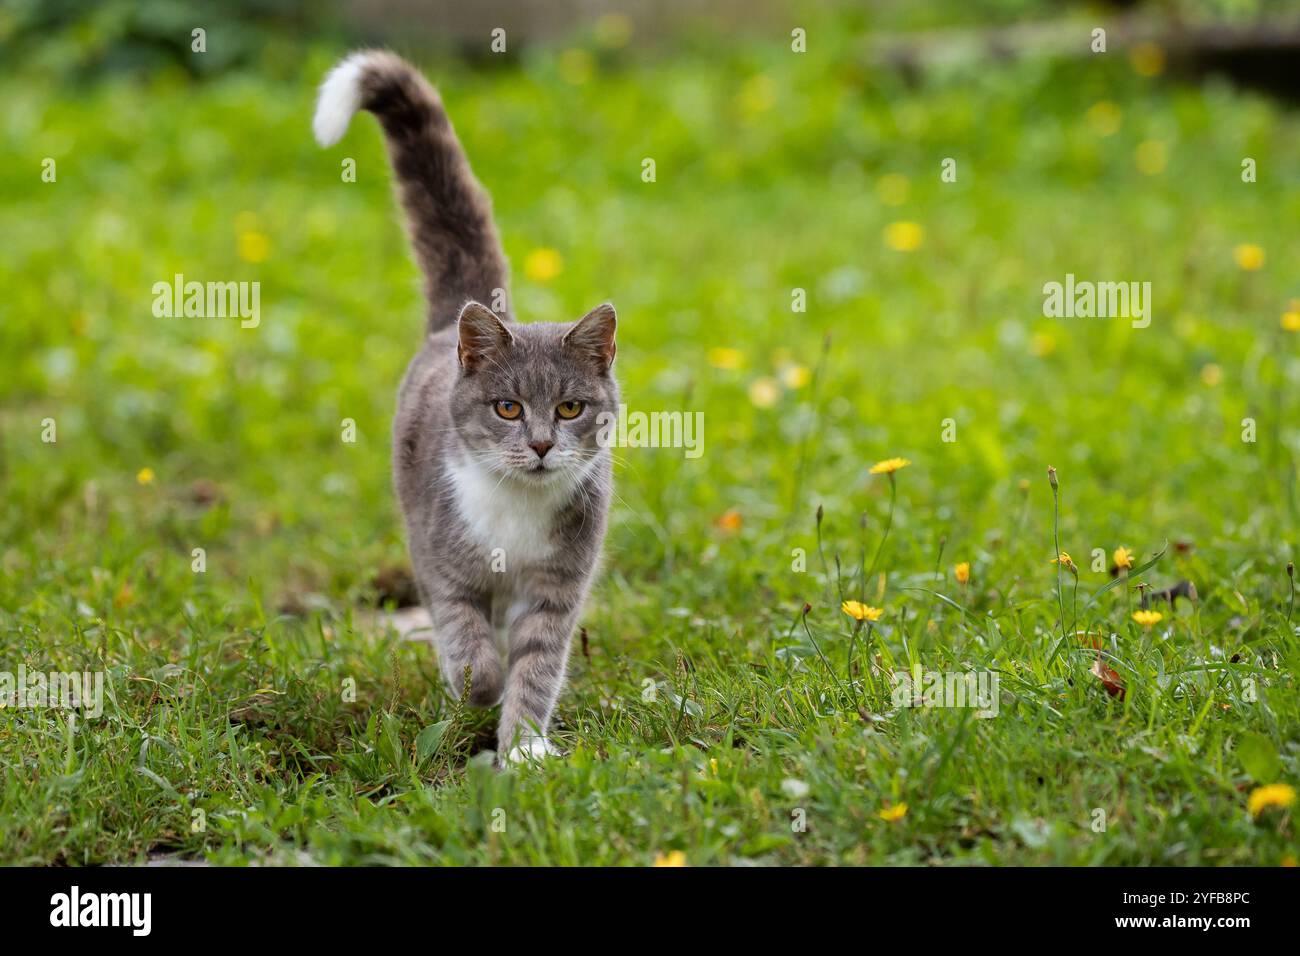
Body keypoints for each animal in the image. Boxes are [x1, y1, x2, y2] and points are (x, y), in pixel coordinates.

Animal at [314, 54, 618, 770]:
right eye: (507, 408)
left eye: (570, 407)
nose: (540, 445)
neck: (517, 508)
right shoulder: (440, 560)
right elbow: (466, 643)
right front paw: (476, 690)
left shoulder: (558, 585)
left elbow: (538, 664)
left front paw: (526, 747)